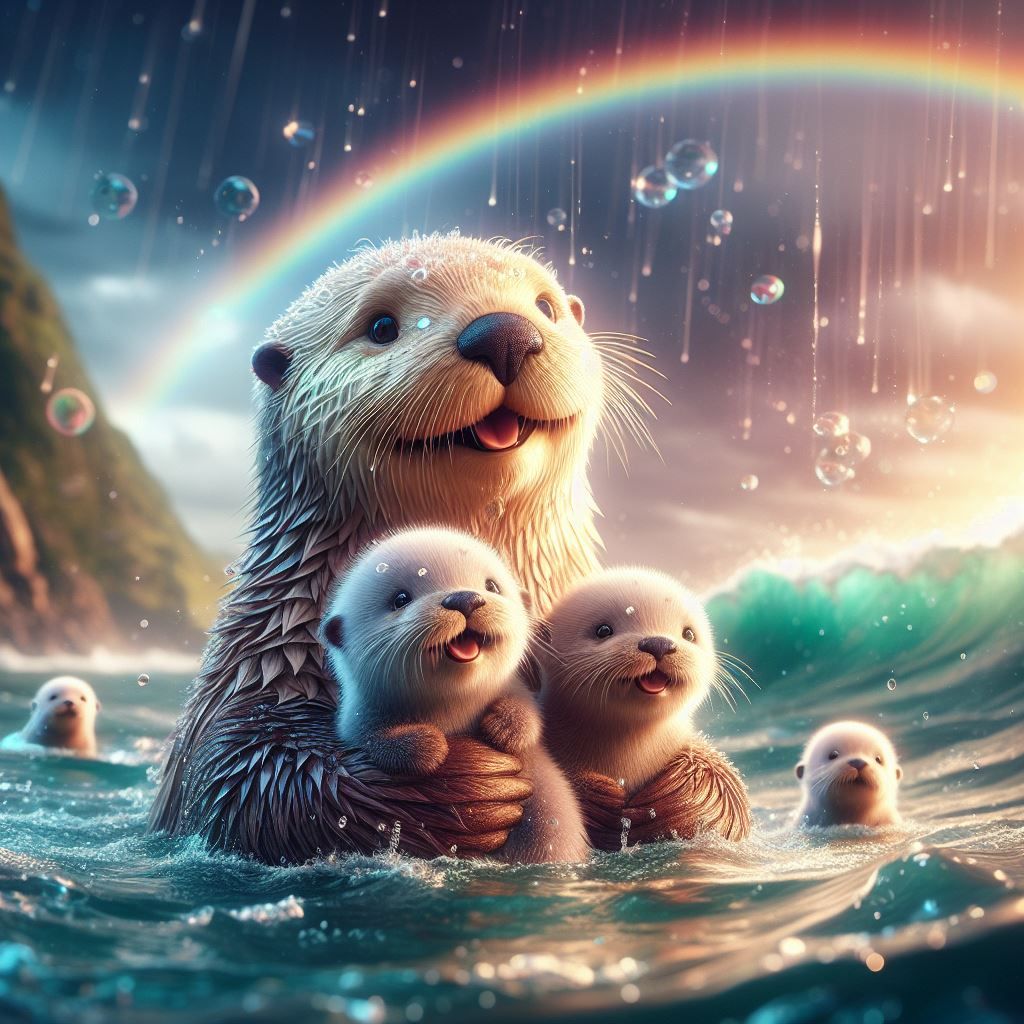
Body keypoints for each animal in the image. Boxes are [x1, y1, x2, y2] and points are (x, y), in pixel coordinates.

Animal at [322, 527, 588, 863]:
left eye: (491, 585)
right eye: (400, 599)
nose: (465, 598)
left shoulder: (515, 688)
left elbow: (528, 711)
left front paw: (505, 727)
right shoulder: (356, 717)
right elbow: (373, 740)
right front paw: (430, 747)